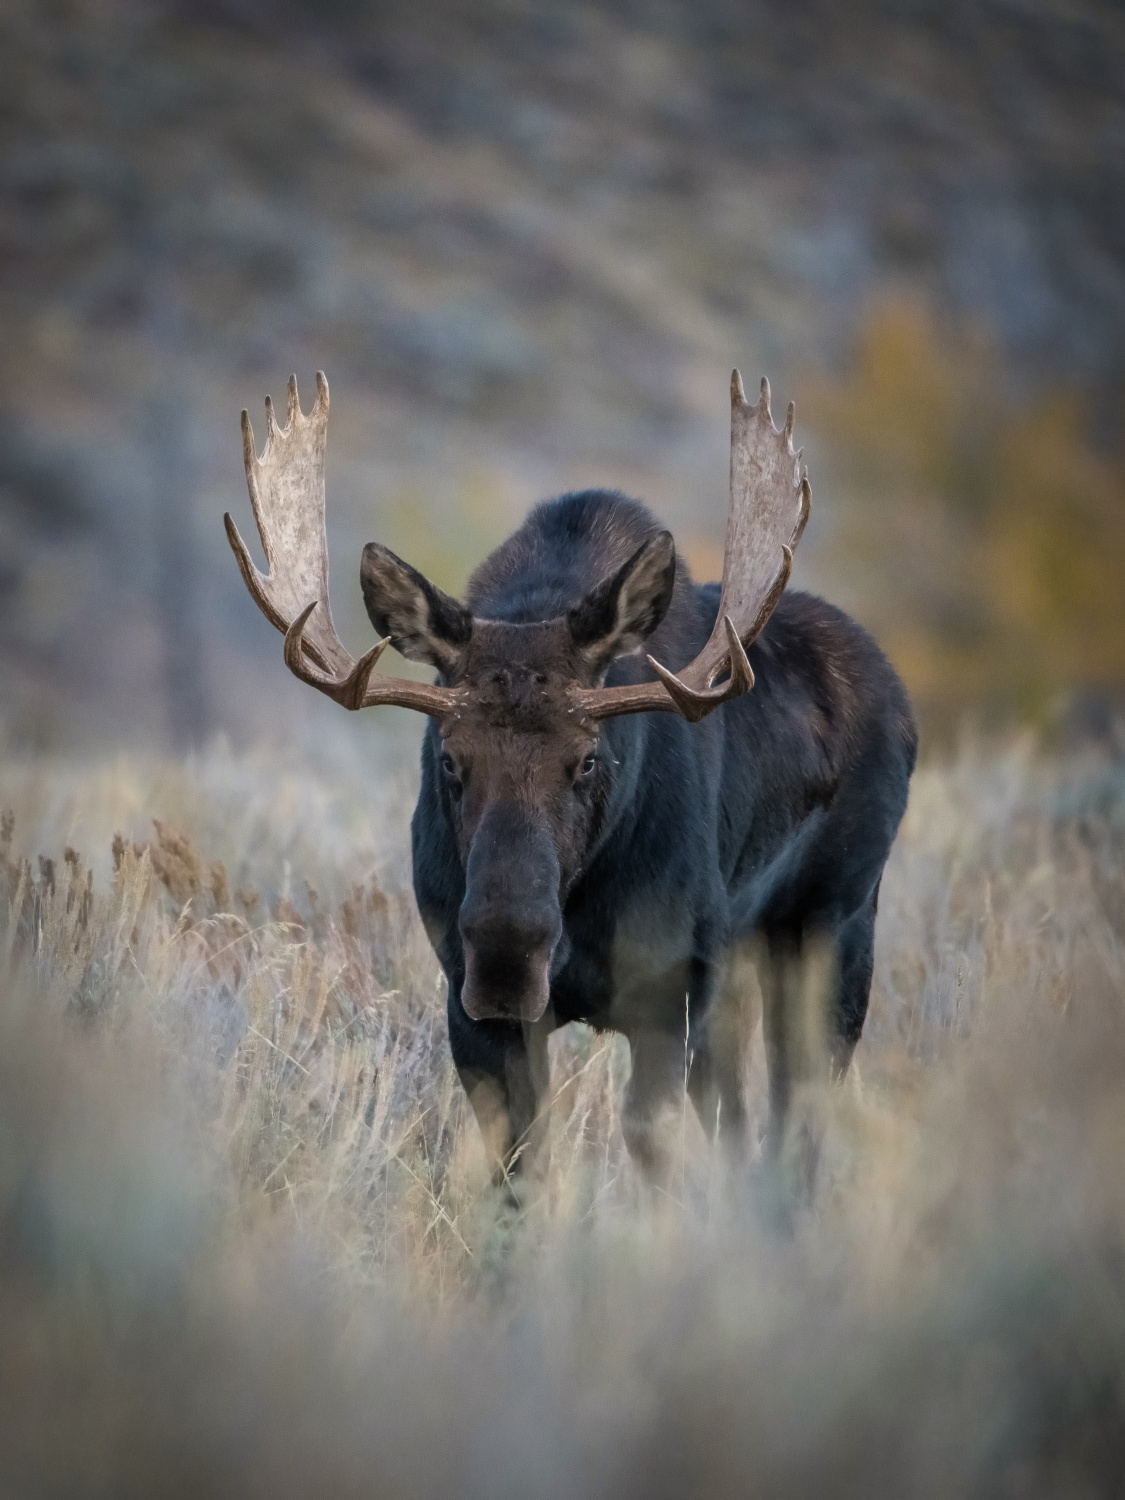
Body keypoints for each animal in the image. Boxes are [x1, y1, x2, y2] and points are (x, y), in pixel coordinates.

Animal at [226, 375, 918, 1194]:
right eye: (449, 760)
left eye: (589, 759)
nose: (505, 953)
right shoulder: (469, 1006)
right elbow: (518, 1161)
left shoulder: (673, 987)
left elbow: (649, 1140)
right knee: (742, 1115)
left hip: (833, 924)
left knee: (800, 1110)